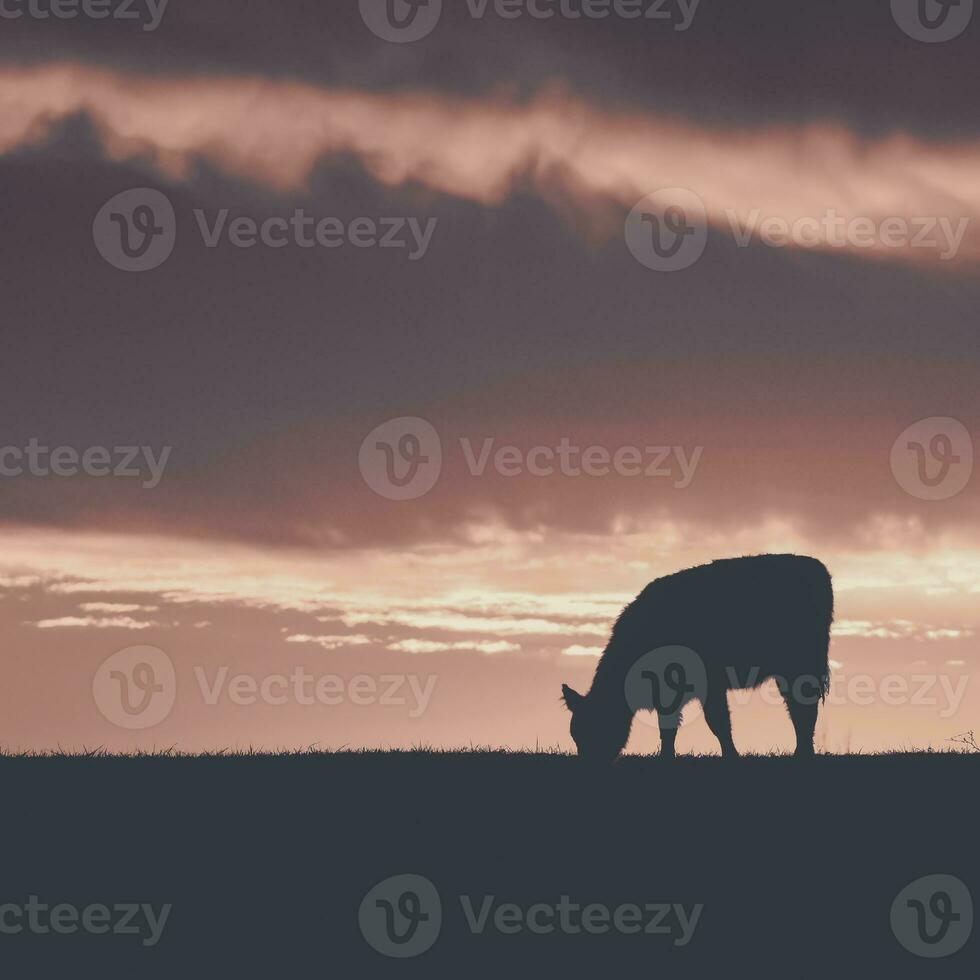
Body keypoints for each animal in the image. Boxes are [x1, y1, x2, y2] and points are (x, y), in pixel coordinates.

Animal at [564, 556, 832, 760]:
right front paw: (666, 757)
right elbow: (668, 727)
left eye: (597, 726)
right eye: (575, 734)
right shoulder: (668, 694)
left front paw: (731, 756)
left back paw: (803, 754)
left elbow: (718, 722)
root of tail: (815, 565)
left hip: (800, 667)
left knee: (803, 709)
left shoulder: (710, 684)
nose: (590, 764)